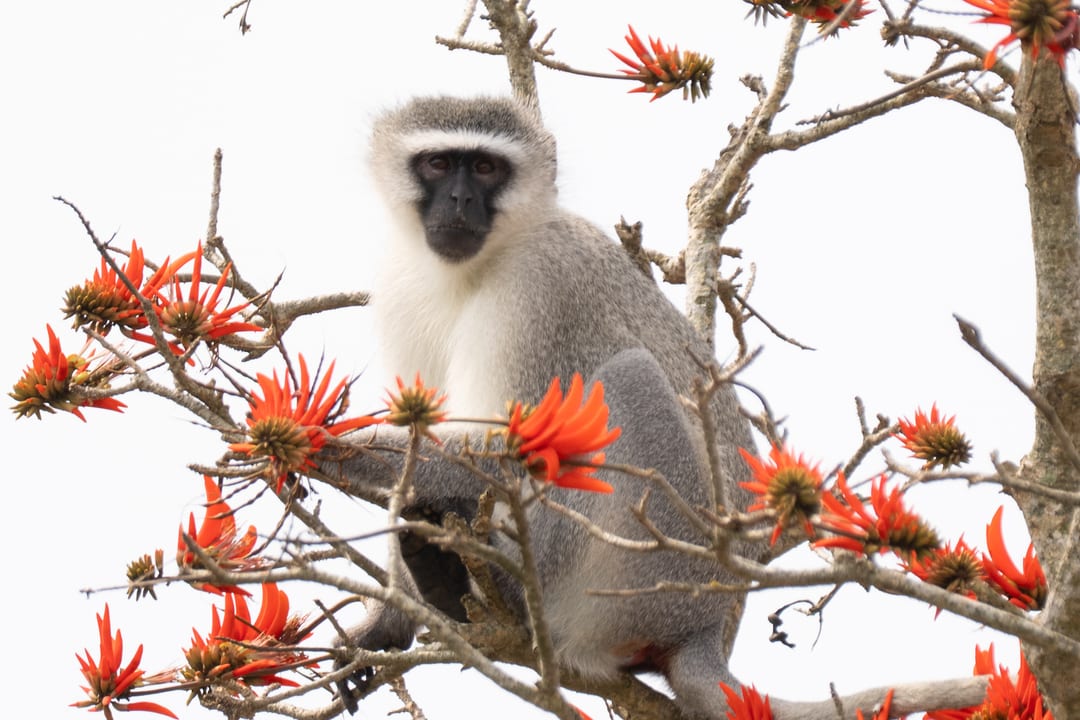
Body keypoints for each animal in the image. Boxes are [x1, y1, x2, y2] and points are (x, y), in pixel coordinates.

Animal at [323, 96, 761, 720]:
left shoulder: (541, 286)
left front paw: (327, 445)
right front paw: (385, 625)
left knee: (629, 380)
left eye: (486, 169)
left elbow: (514, 446)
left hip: (651, 580)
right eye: (438, 163)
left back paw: (510, 598)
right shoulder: (403, 286)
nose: (459, 201)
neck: (476, 265)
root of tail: (704, 632)